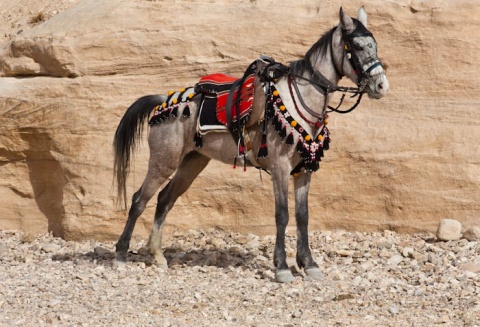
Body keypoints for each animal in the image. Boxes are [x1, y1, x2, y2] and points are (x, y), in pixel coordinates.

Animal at [113, 6, 390, 284]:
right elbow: (282, 214)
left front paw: (309, 264)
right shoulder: (280, 167)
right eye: (356, 46)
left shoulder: (303, 170)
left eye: (375, 45)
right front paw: (282, 267)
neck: (298, 99)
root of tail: (164, 100)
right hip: (164, 160)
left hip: (193, 162)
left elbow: (302, 216)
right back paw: (121, 253)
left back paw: (157, 255)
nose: (381, 86)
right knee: (139, 200)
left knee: (164, 200)